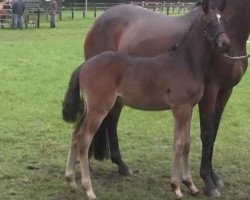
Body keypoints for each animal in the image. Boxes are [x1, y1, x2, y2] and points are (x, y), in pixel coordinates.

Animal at [62, 1, 230, 198]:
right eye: (210, 22)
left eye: (223, 21)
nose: (225, 43)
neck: (186, 63)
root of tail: (84, 65)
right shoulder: (180, 108)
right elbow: (179, 144)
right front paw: (176, 186)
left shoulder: (188, 107)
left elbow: (187, 144)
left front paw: (190, 185)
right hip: (98, 109)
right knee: (84, 139)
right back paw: (88, 188)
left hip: (90, 109)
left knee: (75, 133)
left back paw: (71, 180)